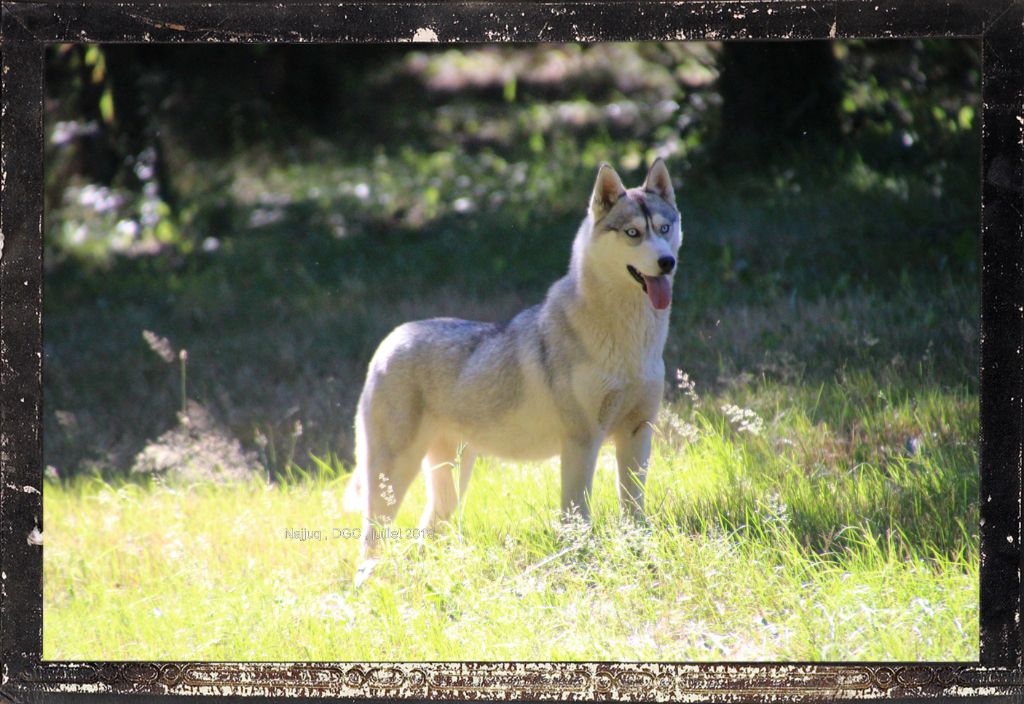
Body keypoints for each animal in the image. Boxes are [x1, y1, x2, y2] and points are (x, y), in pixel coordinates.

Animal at [342, 158, 679, 556]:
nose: (667, 262)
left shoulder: (637, 431)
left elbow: (633, 507)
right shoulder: (582, 440)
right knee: (371, 541)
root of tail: (390, 340)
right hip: (391, 478)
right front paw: (580, 555)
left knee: (426, 532)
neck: (630, 340)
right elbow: (578, 514)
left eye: (664, 228)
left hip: (449, 482)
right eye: (632, 233)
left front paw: (640, 547)